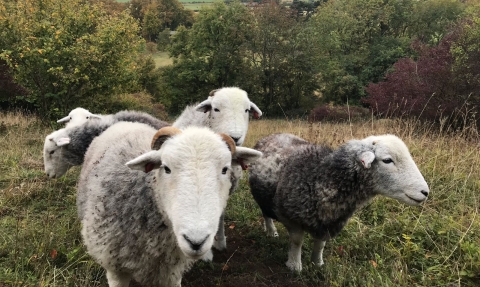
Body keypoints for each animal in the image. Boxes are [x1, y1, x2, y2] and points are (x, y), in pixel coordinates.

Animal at [249, 133, 430, 272]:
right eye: (387, 160)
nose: (425, 192)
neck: (320, 177)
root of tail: (272, 135)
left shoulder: (330, 221)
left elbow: (320, 244)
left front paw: (317, 264)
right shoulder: (291, 216)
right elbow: (297, 241)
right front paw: (295, 266)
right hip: (262, 196)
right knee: (266, 214)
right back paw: (271, 231)